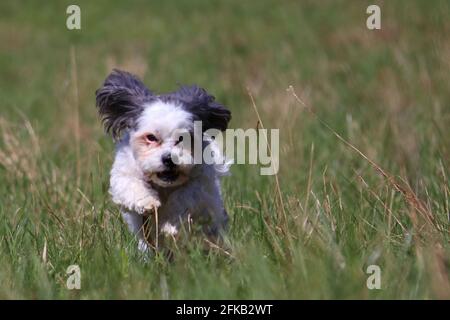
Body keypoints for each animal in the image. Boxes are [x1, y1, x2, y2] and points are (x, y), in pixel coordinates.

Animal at [95, 70, 230, 252]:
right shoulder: (125, 170)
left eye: (183, 138)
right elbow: (130, 185)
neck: (164, 186)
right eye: (151, 137)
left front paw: (170, 224)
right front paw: (147, 202)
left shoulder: (201, 183)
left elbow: (186, 197)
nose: (169, 158)